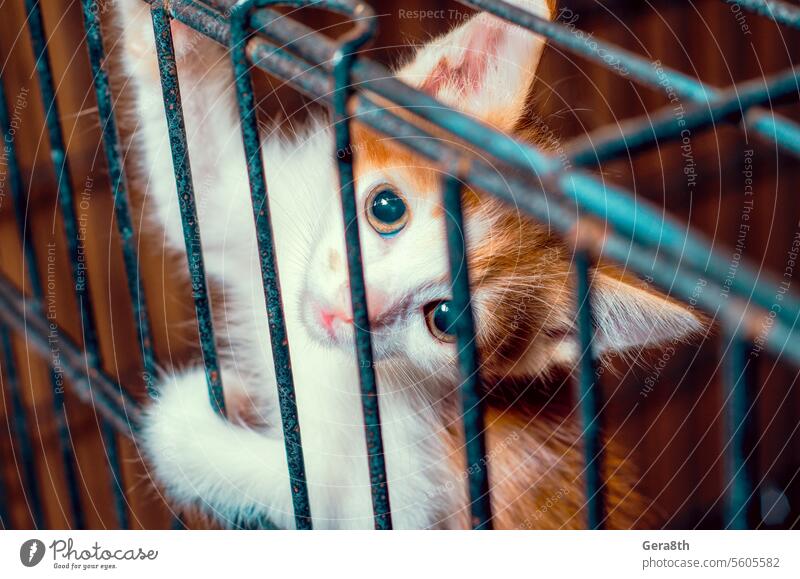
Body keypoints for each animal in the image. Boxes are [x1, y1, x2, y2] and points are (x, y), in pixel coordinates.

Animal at [114, 0, 700, 528]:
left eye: (445, 319)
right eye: (387, 207)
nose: (350, 311)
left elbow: (306, 493)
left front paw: (181, 418)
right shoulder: (265, 214)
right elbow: (202, 188)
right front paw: (161, 25)